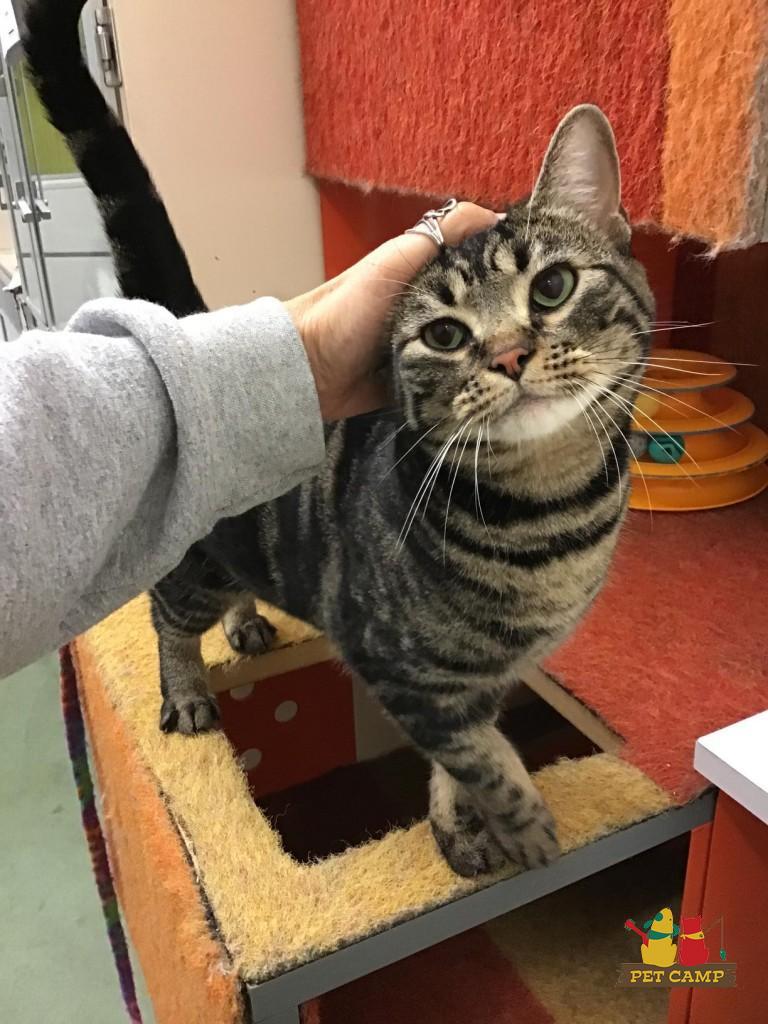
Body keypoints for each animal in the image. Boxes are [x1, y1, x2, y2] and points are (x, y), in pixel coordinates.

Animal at [24, 0, 653, 877]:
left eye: (553, 286)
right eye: (446, 335)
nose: (508, 354)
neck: (553, 516)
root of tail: (188, 323)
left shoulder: (486, 676)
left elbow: (465, 753)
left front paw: (461, 827)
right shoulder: (395, 665)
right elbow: (478, 757)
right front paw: (526, 829)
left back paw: (247, 622)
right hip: (193, 562)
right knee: (165, 611)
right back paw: (187, 689)